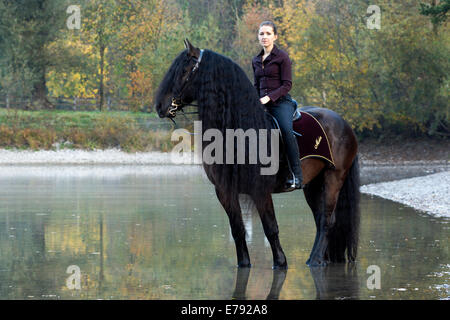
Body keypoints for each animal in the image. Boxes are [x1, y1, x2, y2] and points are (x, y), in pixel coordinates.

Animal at [155, 40, 358, 270]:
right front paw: (244, 263)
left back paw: (314, 260)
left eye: (183, 71)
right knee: (319, 218)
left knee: (327, 220)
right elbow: (237, 229)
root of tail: (343, 122)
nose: (160, 106)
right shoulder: (224, 191)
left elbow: (271, 228)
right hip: (314, 184)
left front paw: (281, 262)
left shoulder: (260, 190)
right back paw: (318, 258)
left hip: (334, 177)